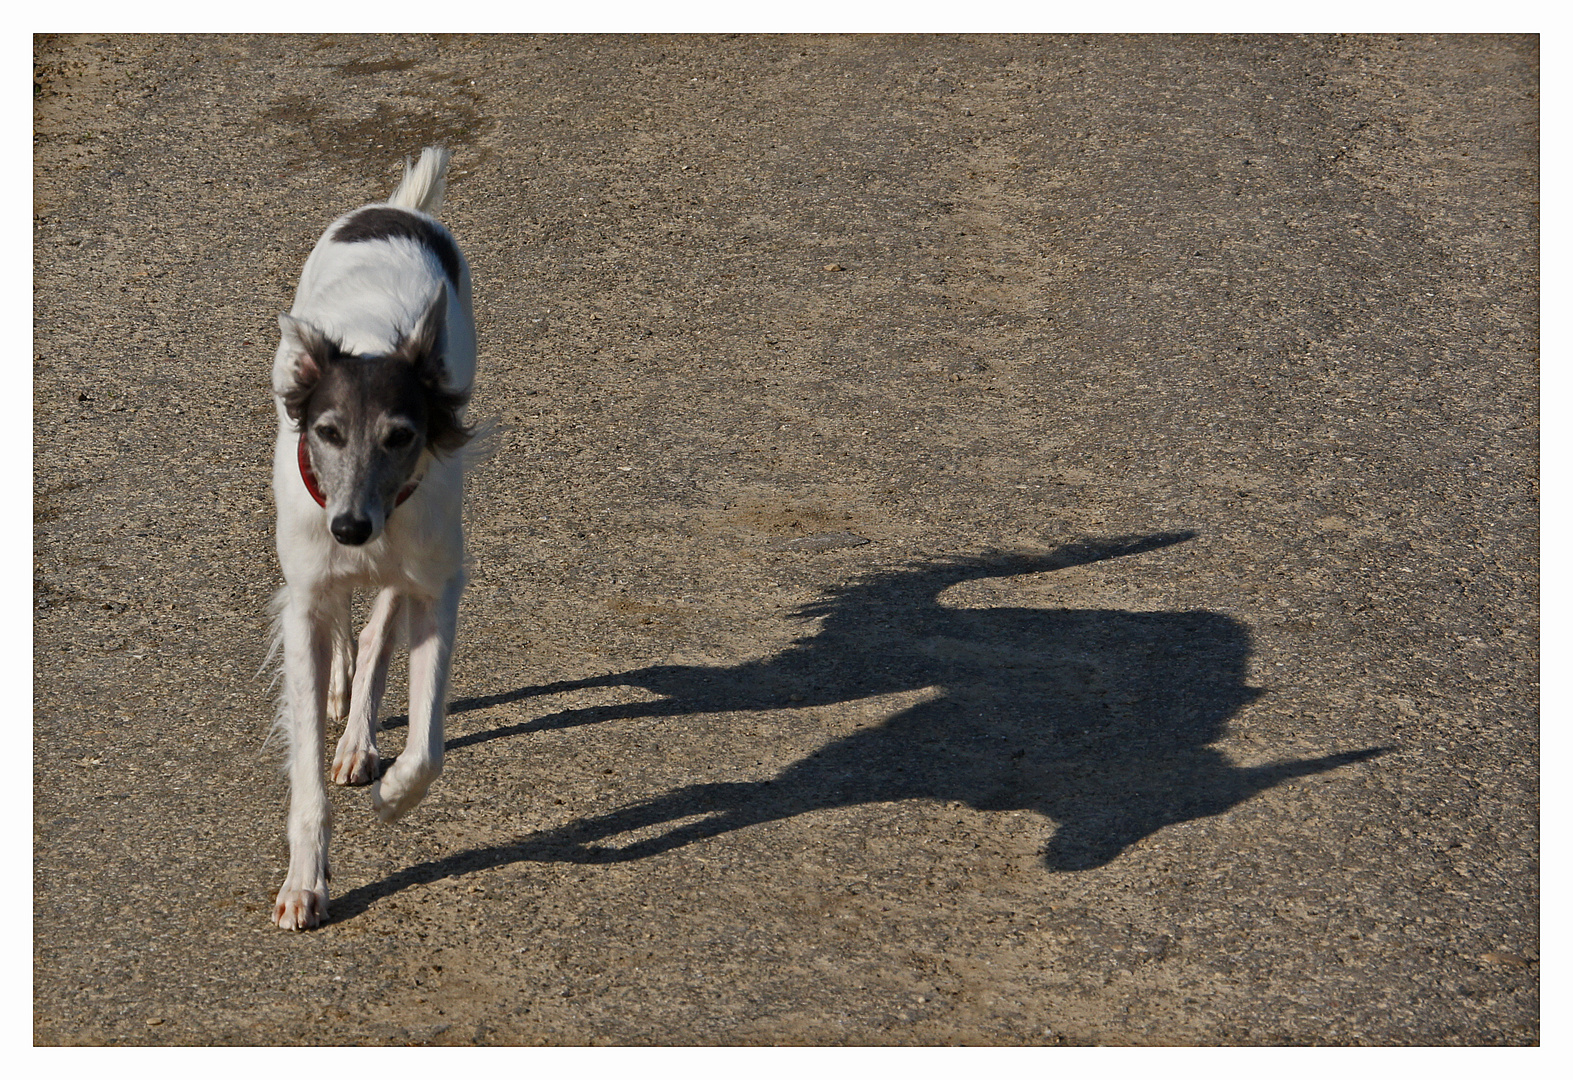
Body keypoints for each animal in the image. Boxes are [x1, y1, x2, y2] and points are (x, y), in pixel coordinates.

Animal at [267, 145, 475, 930]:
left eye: (401, 435)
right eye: (326, 432)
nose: (352, 527)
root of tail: (401, 209)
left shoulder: (438, 580)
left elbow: (429, 746)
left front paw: (392, 795)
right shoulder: (302, 594)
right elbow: (304, 774)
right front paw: (305, 881)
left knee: (379, 618)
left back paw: (359, 738)